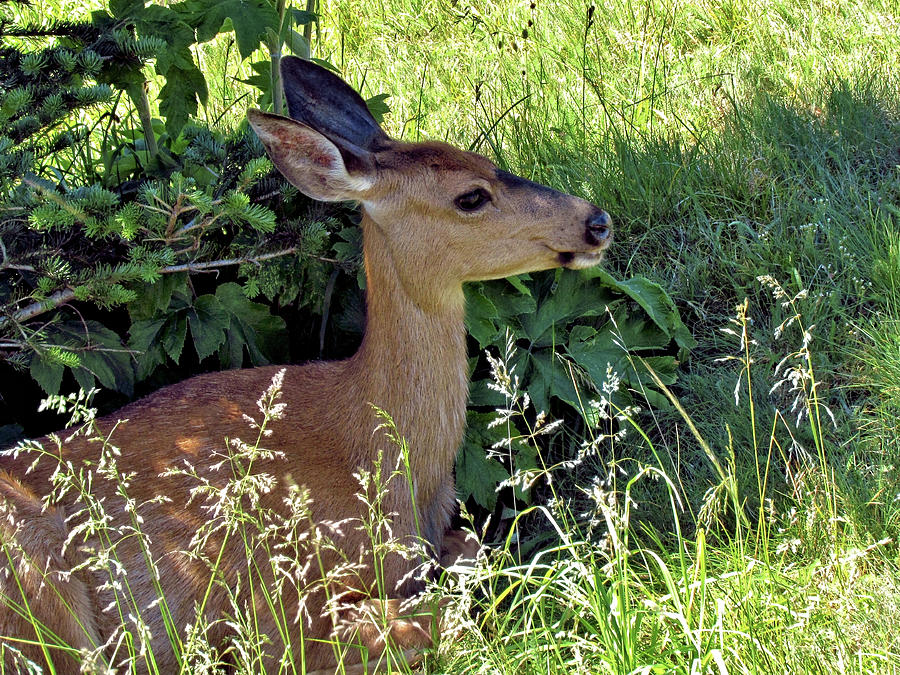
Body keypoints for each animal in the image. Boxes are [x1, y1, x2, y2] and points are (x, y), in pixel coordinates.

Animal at [0, 58, 612, 675]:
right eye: (471, 196)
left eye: (485, 161)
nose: (597, 220)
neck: (379, 455)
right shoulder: (276, 606)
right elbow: (434, 615)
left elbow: (470, 552)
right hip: (39, 596)